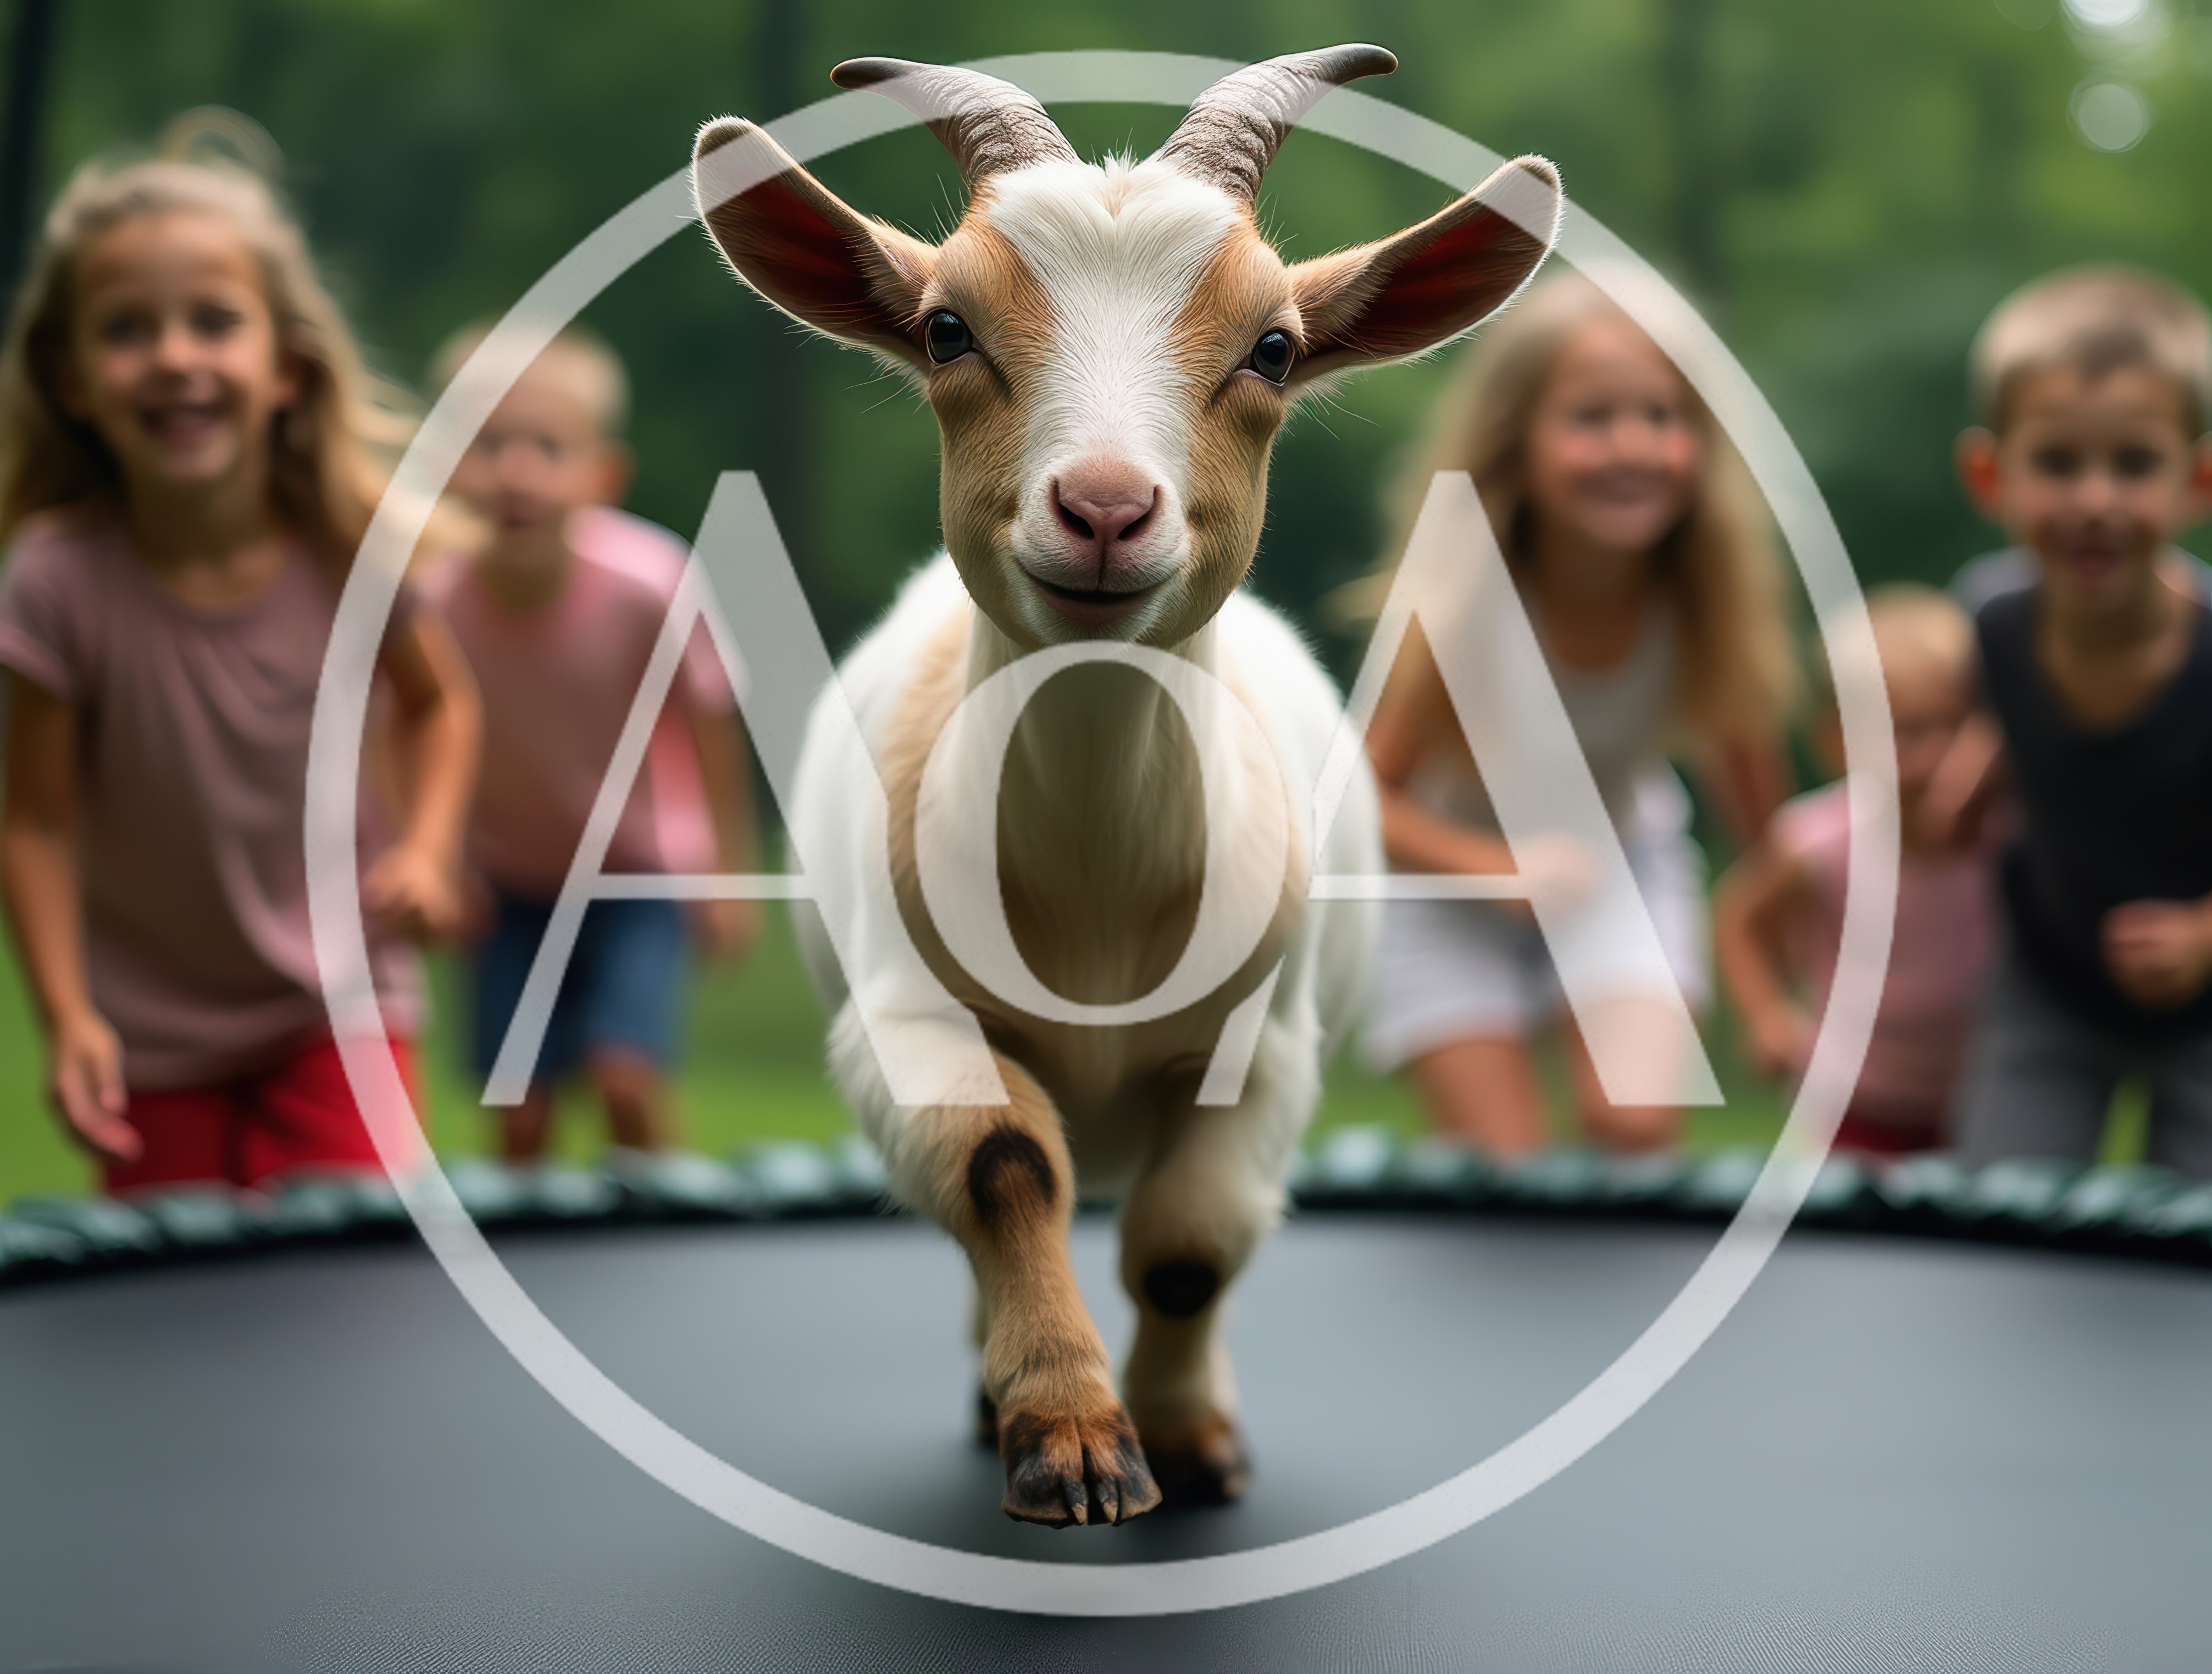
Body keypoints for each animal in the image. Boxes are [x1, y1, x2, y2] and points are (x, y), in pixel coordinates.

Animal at [692, 47, 1559, 1528]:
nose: (1103, 509)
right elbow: (1003, 1165)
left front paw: (1193, 1441)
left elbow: (1189, 1242)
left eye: (1272, 347)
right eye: (945, 329)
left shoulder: (1264, 1049)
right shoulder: (902, 1017)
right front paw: (1070, 1436)